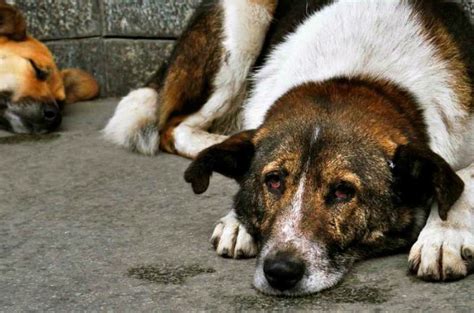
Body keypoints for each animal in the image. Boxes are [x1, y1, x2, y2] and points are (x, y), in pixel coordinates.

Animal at [104, 0, 474, 294]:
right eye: (274, 181)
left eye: (343, 191)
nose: (280, 272)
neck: (356, 77)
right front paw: (236, 219)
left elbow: (464, 180)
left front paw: (442, 237)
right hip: (242, 24)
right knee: (173, 126)